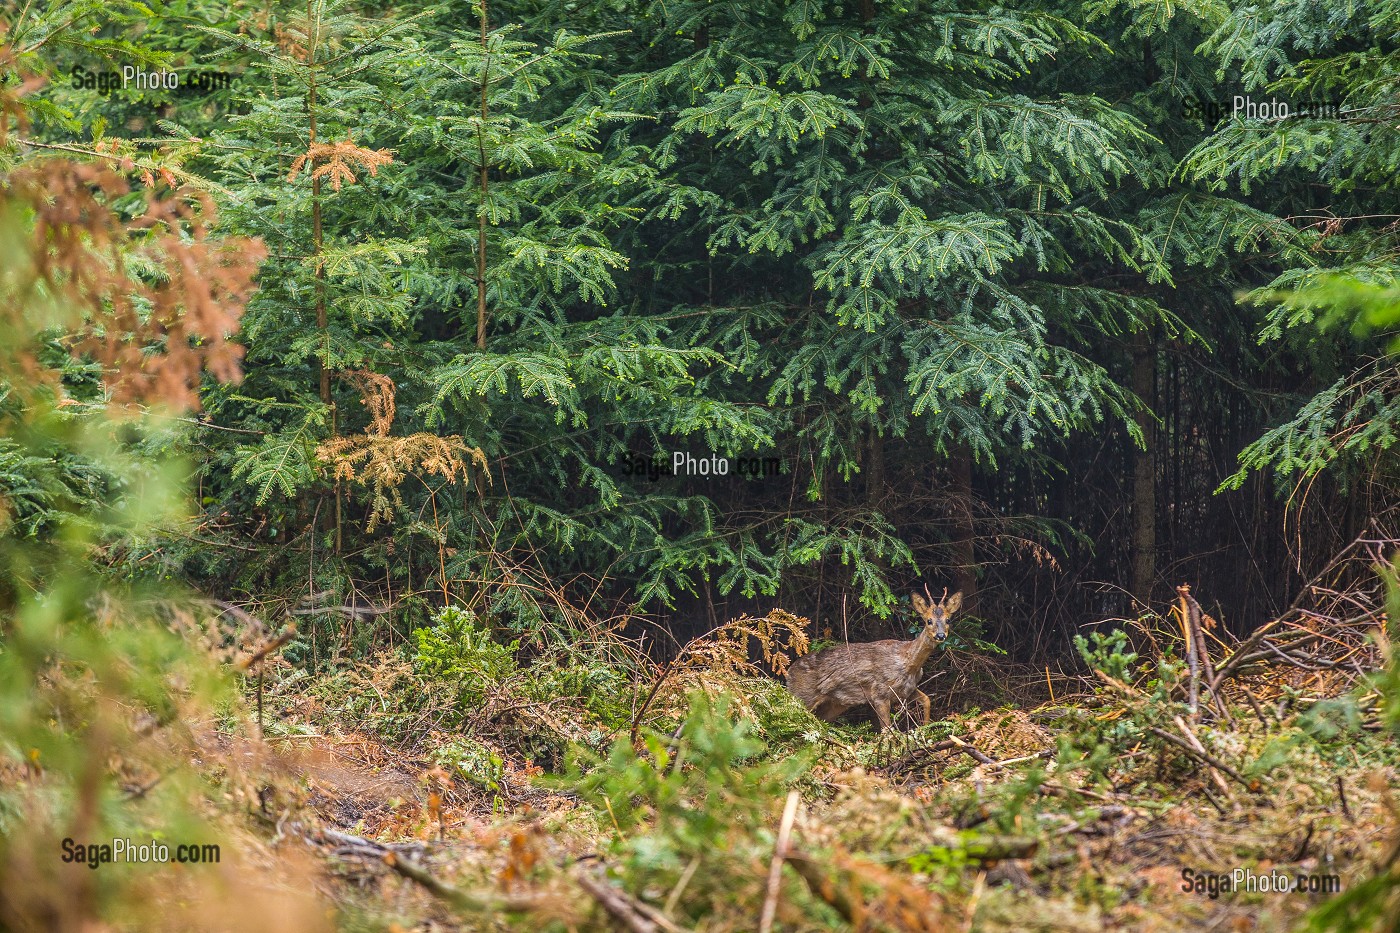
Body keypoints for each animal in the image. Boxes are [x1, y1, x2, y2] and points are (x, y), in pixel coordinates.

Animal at [789, 585, 963, 728]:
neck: (908, 664)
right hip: (803, 696)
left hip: (835, 704)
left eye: (948, 620)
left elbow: (927, 699)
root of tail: (789, 672)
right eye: (929, 621)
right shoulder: (879, 693)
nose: (940, 635)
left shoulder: (907, 690)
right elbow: (886, 730)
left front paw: (926, 727)